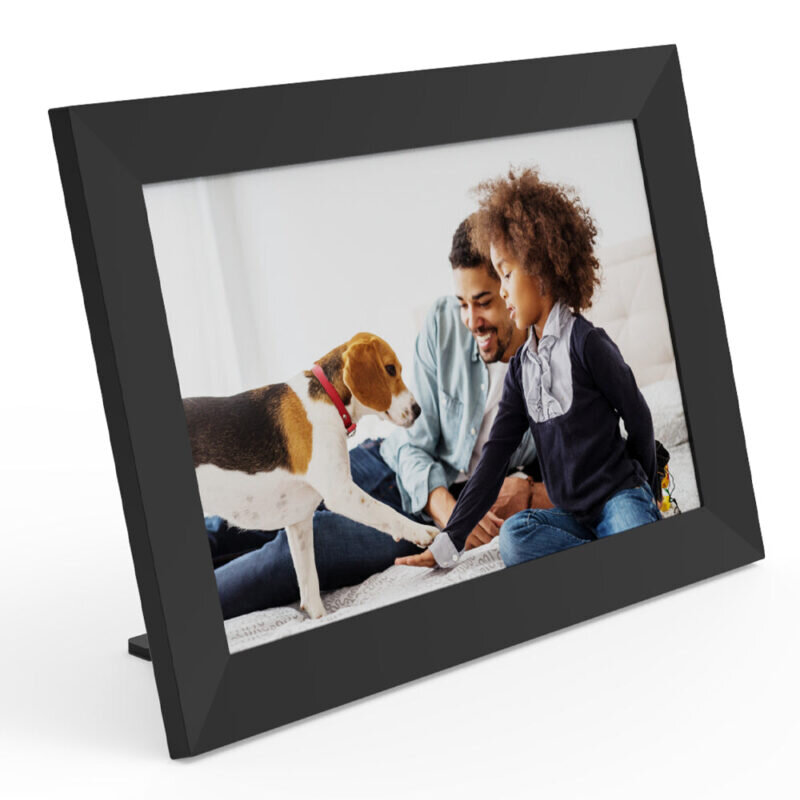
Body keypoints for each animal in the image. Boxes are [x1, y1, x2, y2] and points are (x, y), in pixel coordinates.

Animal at [184, 332, 439, 619]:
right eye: (391, 369)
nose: (418, 410)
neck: (328, 397)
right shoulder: (342, 492)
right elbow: (387, 511)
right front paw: (421, 531)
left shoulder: (299, 523)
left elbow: (309, 583)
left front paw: (320, 617)